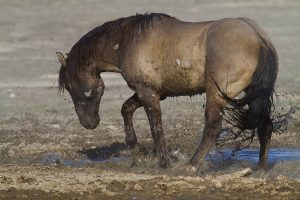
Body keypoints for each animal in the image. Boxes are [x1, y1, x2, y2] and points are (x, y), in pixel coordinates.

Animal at [56, 12, 278, 169]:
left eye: (69, 86)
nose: (89, 123)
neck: (128, 41)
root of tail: (259, 38)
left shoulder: (147, 92)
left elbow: (156, 128)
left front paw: (164, 162)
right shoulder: (153, 92)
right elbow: (126, 108)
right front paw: (134, 146)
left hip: (216, 95)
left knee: (213, 129)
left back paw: (191, 165)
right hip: (257, 95)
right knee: (265, 126)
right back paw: (260, 168)